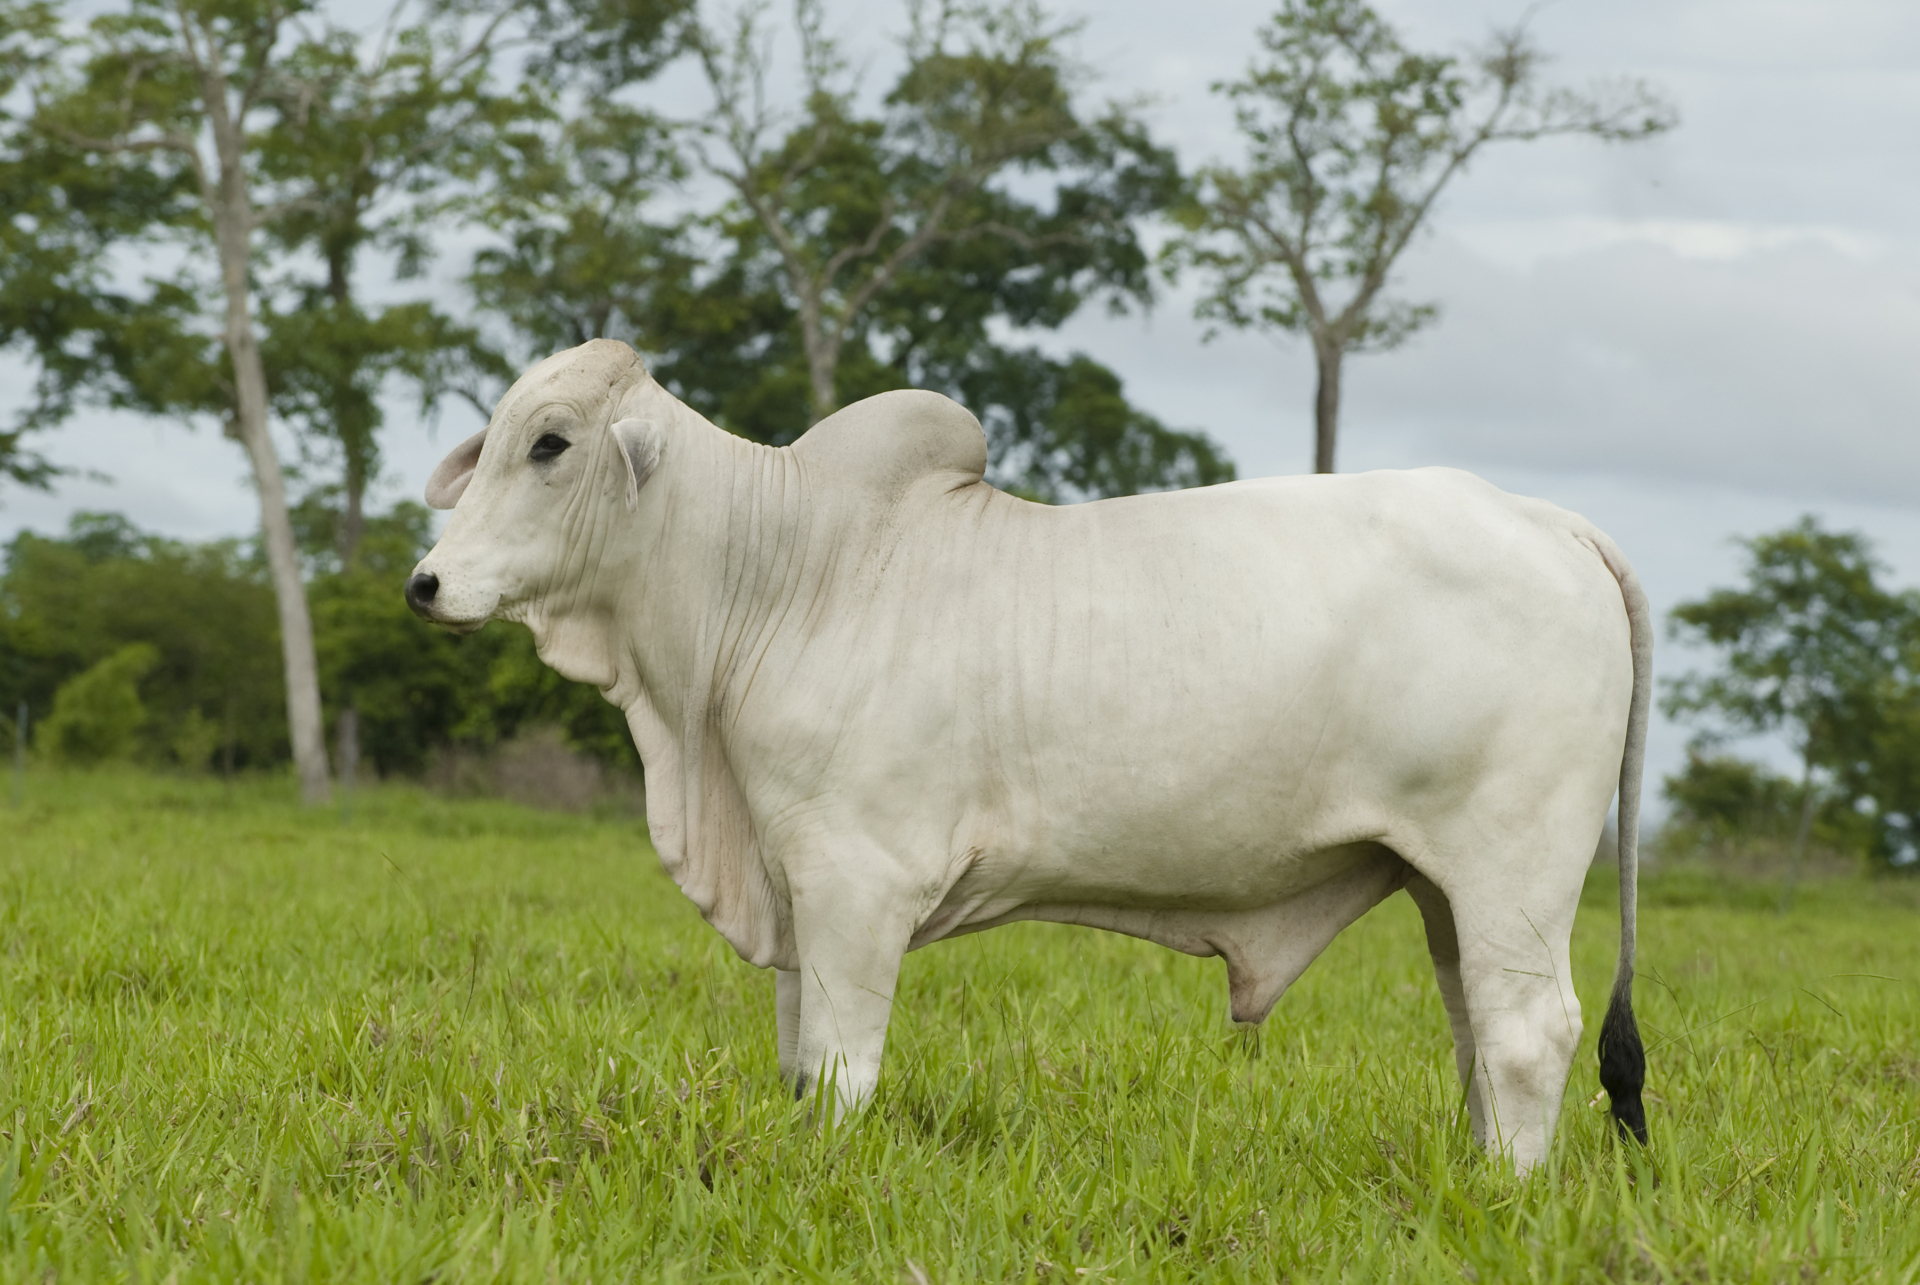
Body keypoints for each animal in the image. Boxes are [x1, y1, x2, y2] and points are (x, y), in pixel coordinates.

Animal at [405, 336, 1651, 1167]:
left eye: (552, 444)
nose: (426, 582)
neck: (783, 571)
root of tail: (1550, 519)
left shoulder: (855, 880)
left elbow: (843, 1069)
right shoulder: (790, 883)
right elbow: (799, 1062)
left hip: (1514, 869)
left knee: (1528, 1033)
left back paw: (1506, 1193)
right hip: (1447, 888)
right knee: (1475, 1028)